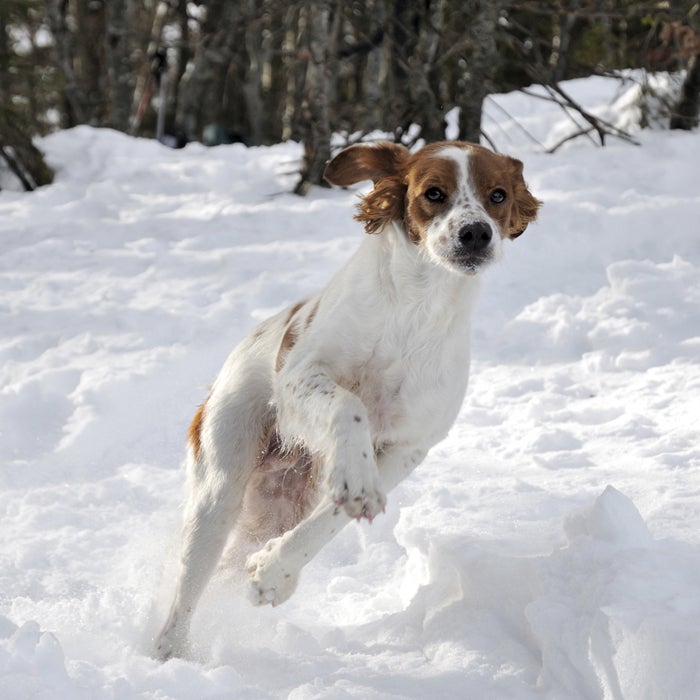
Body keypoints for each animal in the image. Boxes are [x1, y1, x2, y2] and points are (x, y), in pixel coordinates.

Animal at [154, 139, 540, 660]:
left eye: (498, 195)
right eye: (433, 193)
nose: (476, 233)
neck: (416, 307)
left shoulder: (407, 445)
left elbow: (334, 517)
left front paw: (275, 573)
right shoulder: (300, 378)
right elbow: (349, 406)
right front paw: (354, 476)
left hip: (278, 503)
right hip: (221, 482)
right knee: (188, 586)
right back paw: (169, 654)